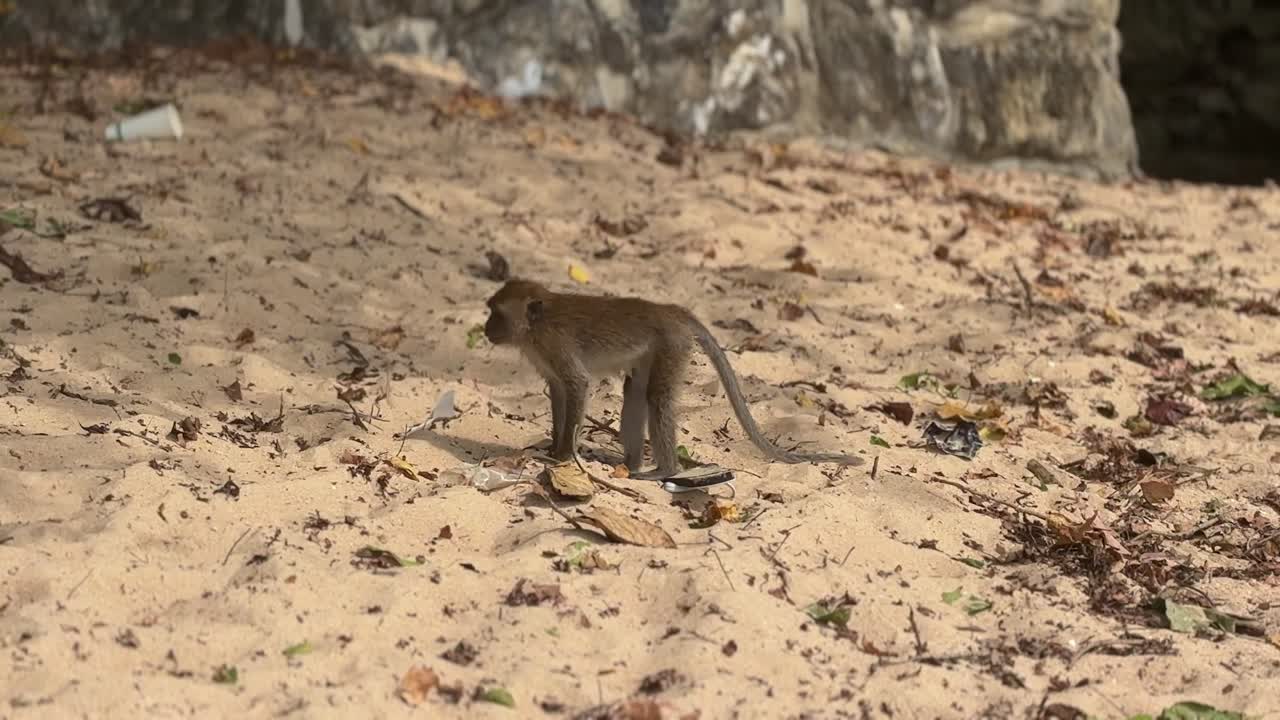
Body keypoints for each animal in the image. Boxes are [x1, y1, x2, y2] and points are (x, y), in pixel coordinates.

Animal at [483, 278, 865, 478]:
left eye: (496, 314)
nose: (486, 328)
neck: (535, 326)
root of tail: (669, 310)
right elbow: (559, 392)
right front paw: (552, 444)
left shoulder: (555, 343)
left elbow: (577, 384)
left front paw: (562, 455)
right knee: (635, 392)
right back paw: (630, 465)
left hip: (672, 344)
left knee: (657, 399)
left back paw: (664, 471)